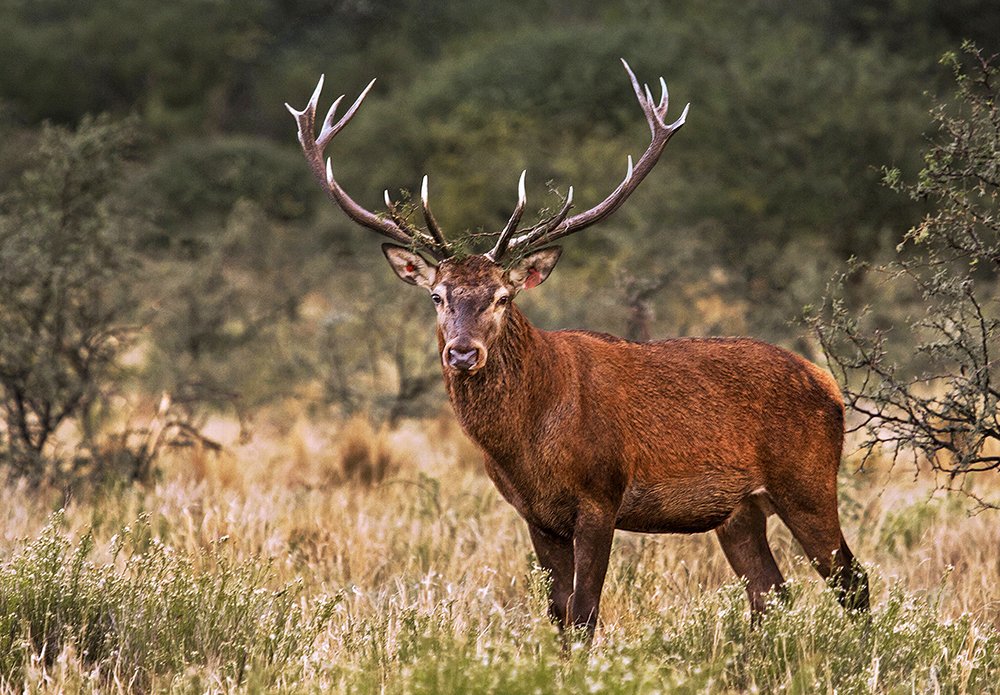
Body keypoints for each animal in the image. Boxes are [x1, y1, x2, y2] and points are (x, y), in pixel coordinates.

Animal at [287, 60, 870, 639]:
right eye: (437, 295)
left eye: (502, 296)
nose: (462, 353)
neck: (529, 443)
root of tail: (829, 383)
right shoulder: (535, 515)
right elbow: (557, 613)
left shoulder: (600, 496)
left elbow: (585, 614)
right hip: (740, 512)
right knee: (772, 594)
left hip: (808, 481)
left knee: (853, 581)